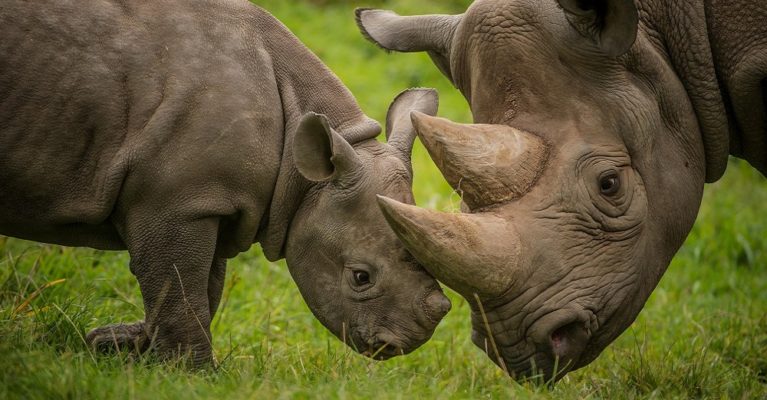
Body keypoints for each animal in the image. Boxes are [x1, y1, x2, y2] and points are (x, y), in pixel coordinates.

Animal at [0, 0, 450, 366]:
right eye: (360, 277)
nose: (407, 342)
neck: (303, 175)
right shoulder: (175, 201)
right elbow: (179, 285)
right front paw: (192, 372)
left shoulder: (207, 198)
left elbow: (200, 288)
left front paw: (120, 348)